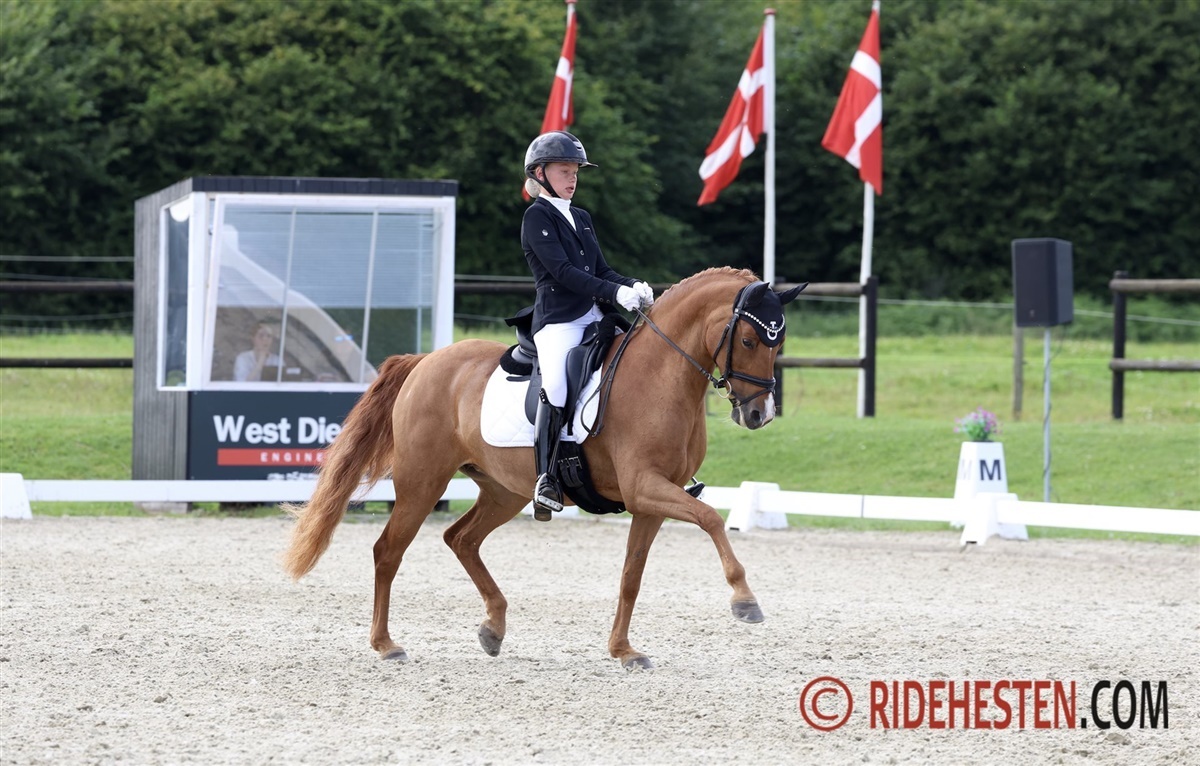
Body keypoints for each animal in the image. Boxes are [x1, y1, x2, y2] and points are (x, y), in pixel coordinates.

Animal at [282, 266, 805, 669]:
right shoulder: (645, 487)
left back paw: (493, 628)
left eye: (779, 342)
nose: (759, 414)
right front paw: (745, 601)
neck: (660, 376)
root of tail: (426, 360)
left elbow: (631, 577)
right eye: (749, 338)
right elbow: (712, 518)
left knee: (461, 539)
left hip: (504, 490)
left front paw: (624, 651)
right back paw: (387, 645)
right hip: (422, 482)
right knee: (388, 551)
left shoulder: (651, 502)